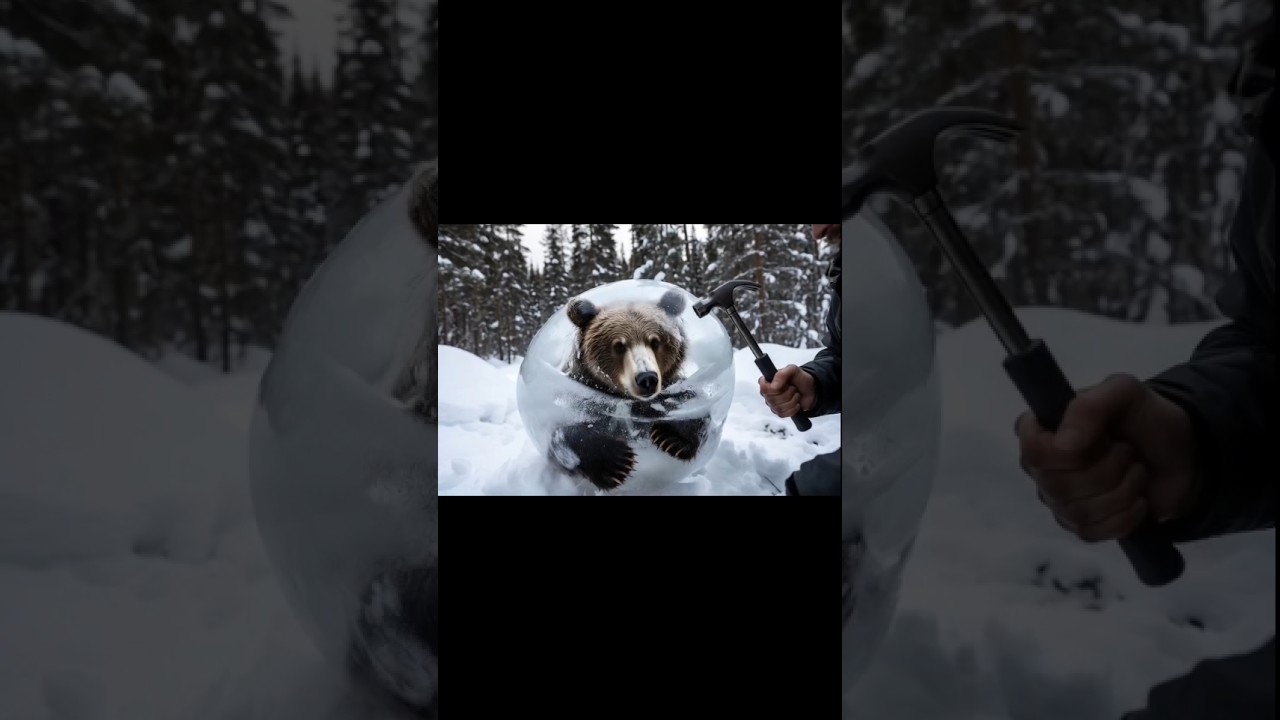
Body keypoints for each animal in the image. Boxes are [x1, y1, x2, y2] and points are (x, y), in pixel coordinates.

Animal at [547, 288, 712, 491]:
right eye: (619, 345)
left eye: (655, 341)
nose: (646, 378)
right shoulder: (578, 395)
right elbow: (563, 434)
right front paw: (617, 463)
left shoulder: (671, 388)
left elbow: (692, 403)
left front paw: (670, 438)